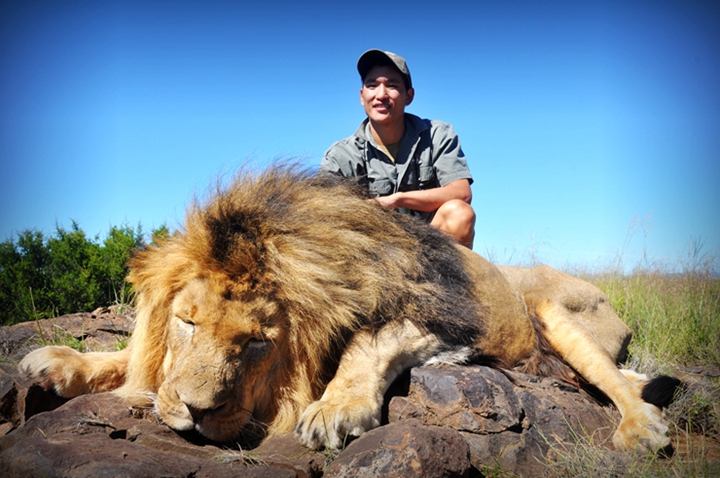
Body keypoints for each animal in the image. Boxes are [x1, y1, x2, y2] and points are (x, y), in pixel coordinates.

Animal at [21, 164, 676, 452]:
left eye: (255, 342)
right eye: (187, 322)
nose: (195, 413)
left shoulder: (432, 314)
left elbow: (365, 345)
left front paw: (333, 410)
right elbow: (137, 357)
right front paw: (60, 363)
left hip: (558, 312)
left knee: (625, 387)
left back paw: (640, 430)